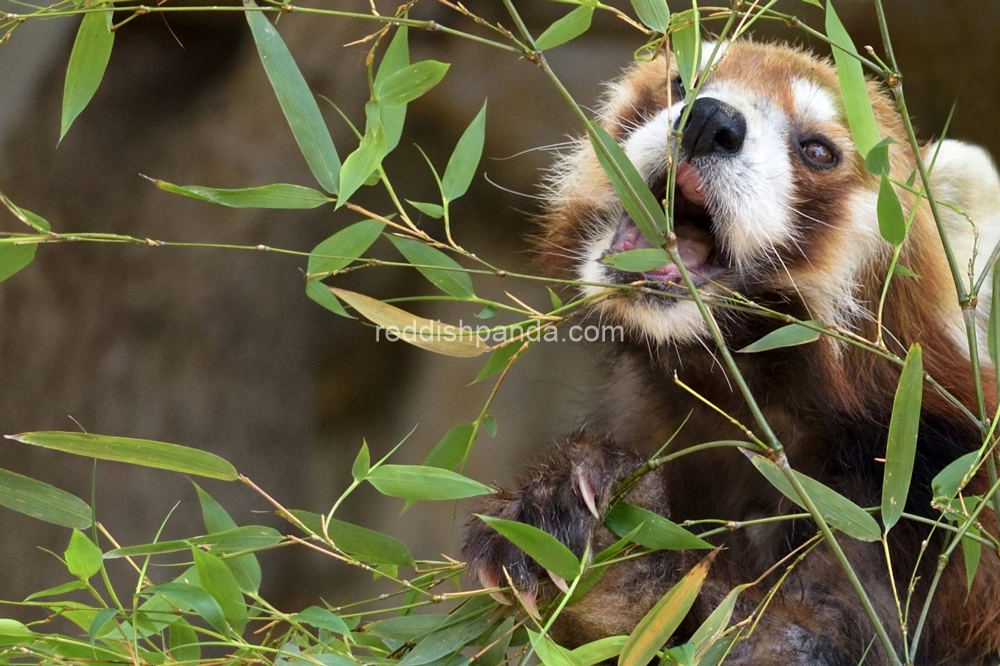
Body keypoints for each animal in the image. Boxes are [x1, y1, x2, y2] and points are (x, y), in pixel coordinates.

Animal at [464, 42, 1000, 664]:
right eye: (679, 81)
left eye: (817, 150)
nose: (709, 120)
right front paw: (554, 508)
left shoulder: (908, 504)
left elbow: (783, 639)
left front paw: (621, 558)